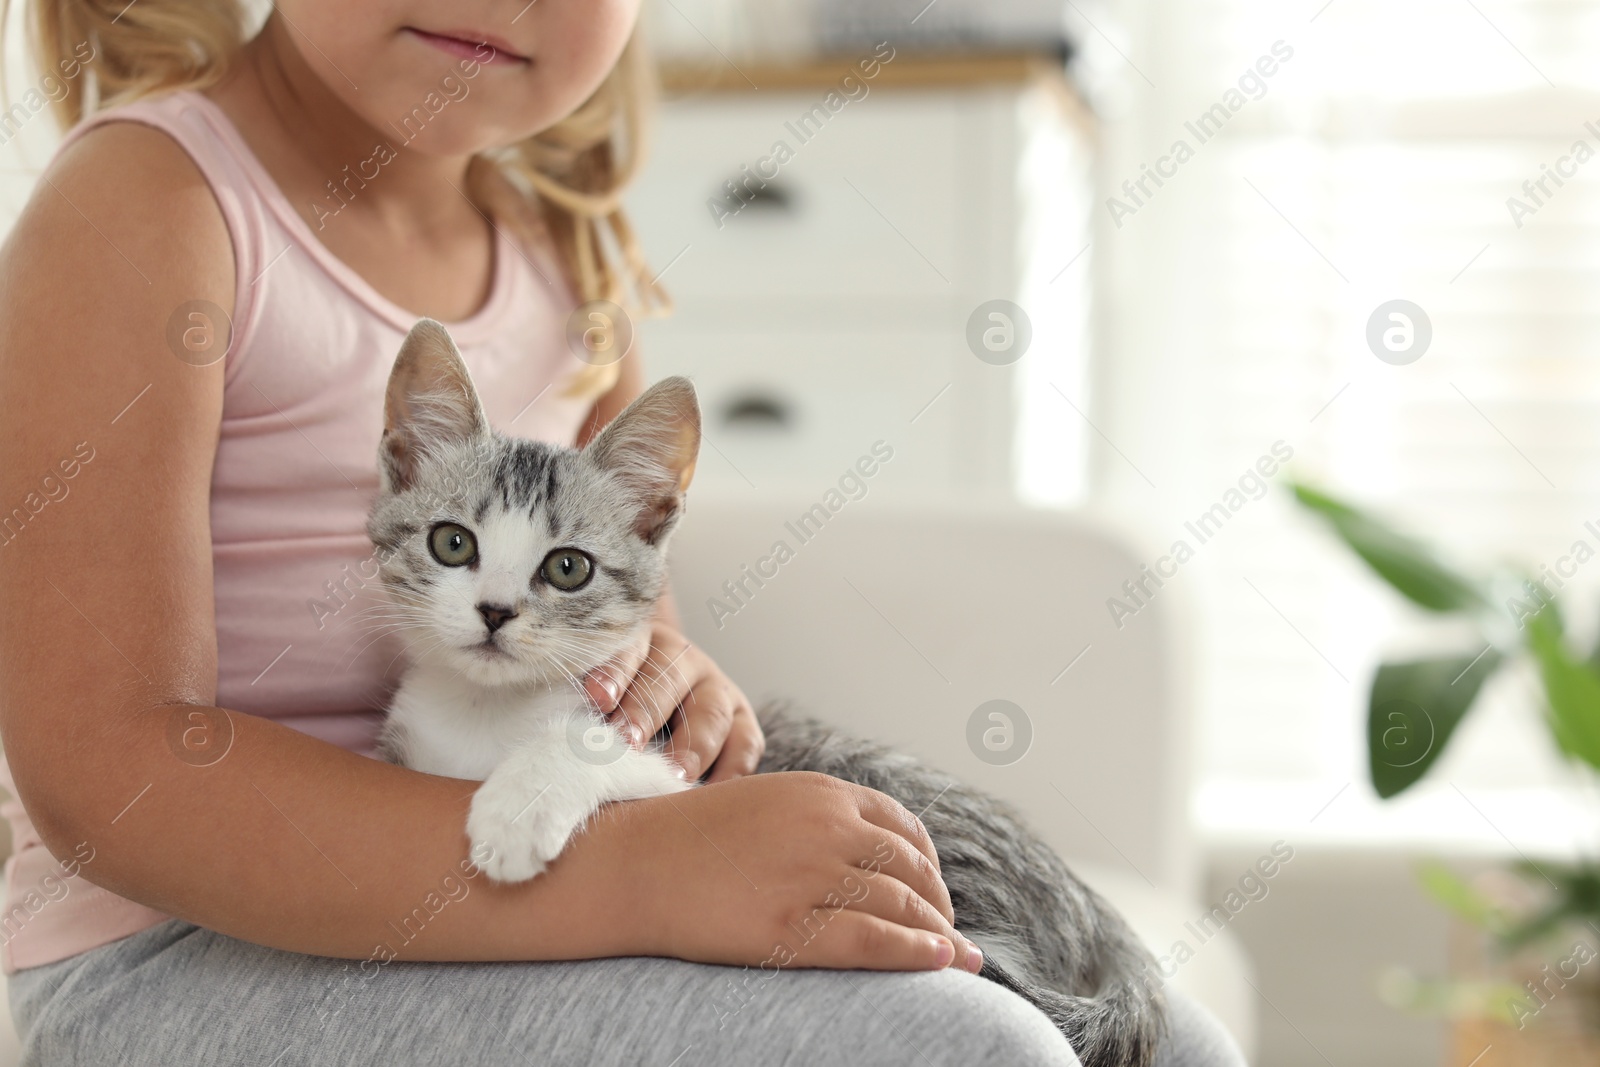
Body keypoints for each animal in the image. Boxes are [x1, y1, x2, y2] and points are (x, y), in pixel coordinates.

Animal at [366, 319, 1164, 1067]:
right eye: (452, 543)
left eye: (568, 568)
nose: (495, 611)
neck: (484, 712)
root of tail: (1098, 916)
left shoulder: (681, 761)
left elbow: (604, 750)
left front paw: (516, 810)